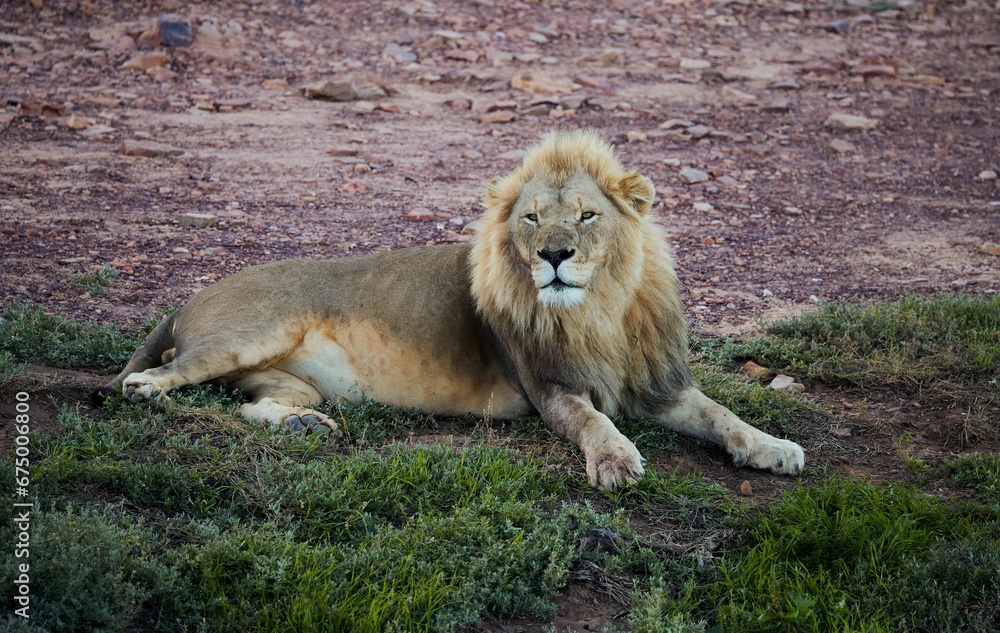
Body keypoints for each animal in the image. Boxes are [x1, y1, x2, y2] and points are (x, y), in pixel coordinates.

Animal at [100, 130, 804, 489]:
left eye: (586, 216)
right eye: (531, 219)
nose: (553, 254)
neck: (597, 310)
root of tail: (187, 297)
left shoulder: (659, 384)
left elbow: (723, 415)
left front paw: (774, 448)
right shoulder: (550, 388)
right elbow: (594, 422)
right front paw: (615, 461)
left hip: (288, 381)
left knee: (250, 405)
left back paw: (304, 427)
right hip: (247, 335)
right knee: (154, 377)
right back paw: (153, 390)